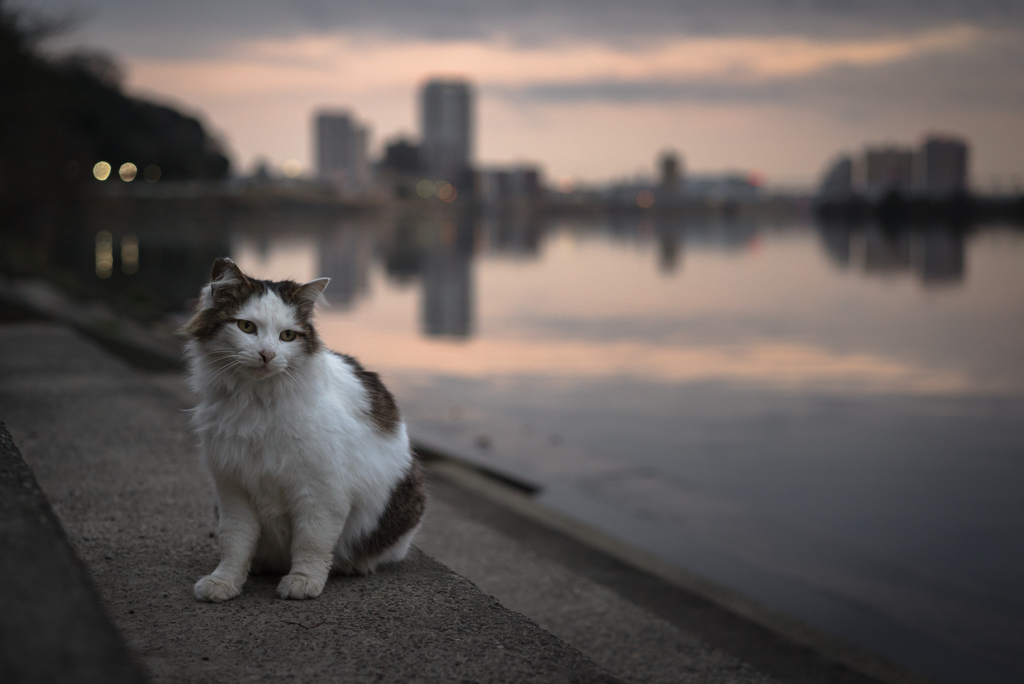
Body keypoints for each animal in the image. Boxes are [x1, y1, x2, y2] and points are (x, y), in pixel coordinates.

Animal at [183, 254, 423, 597]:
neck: (256, 403)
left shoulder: (321, 492)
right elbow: (235, 544)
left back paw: (354, 565)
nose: (267, 354)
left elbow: (311, 543)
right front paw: (224, 582)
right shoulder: (232, 490)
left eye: (287, 336)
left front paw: (303, 581)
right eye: (246, 327)